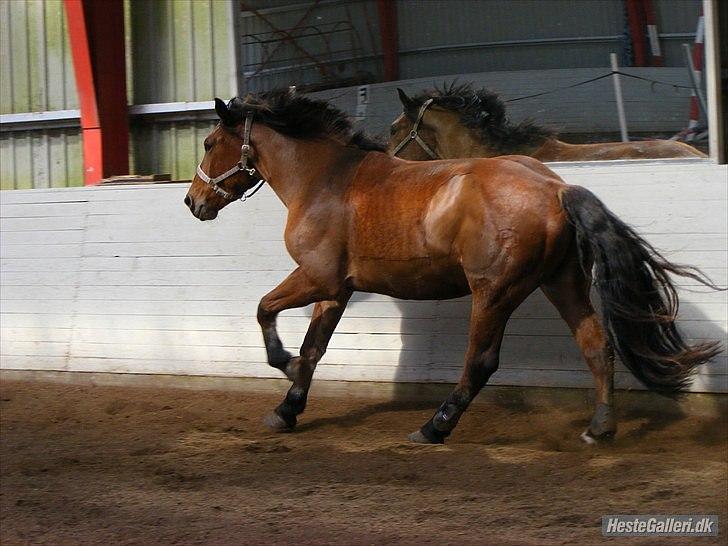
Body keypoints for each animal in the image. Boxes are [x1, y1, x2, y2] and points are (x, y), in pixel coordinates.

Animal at [185, 90, 720, 442]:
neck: (323, 180)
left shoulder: (318, 277)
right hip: (560, 282)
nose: (194, 202)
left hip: (495, 292)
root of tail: (556, 187)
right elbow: (314, 349)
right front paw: (287, 410)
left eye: (209, 144)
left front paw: (283, 364)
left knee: (481, 362)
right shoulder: (336, 290)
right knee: (596, 344)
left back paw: (435, 426)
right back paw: (600, 427)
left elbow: (265, 311)